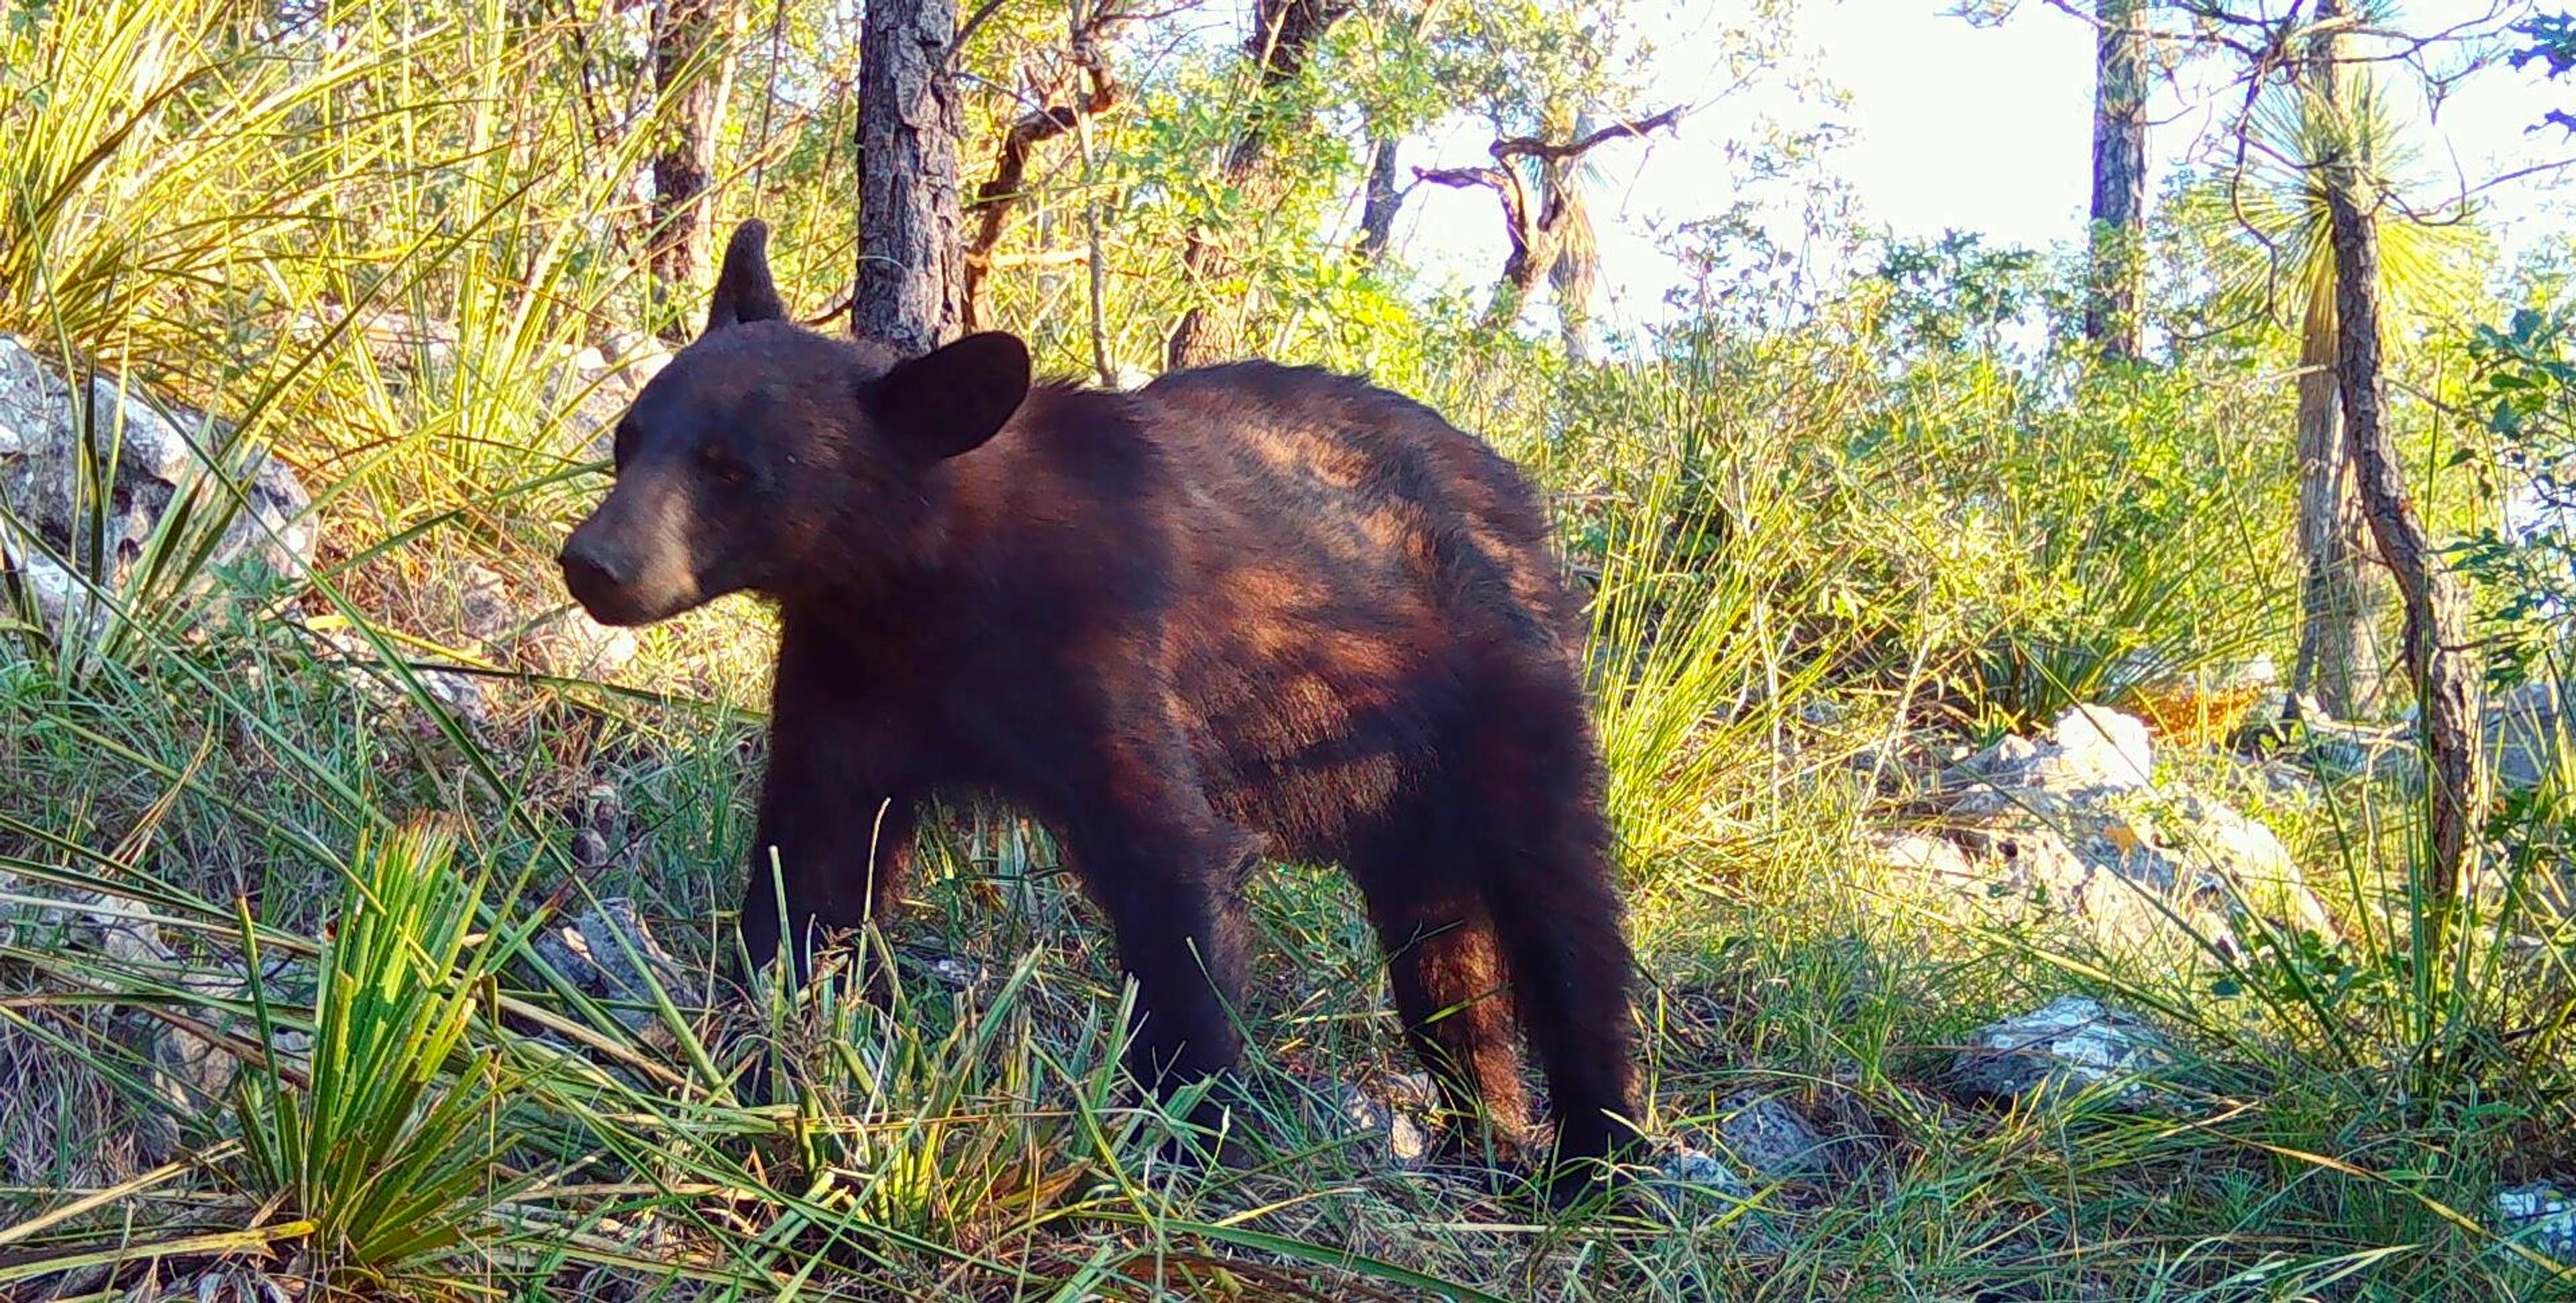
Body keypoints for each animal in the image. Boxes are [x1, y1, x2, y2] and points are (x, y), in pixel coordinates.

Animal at [566, 221, 1648, 1179]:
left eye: (733, 471)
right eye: (629, 437)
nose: (595, 563)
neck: (922, 586)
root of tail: (1521, 493)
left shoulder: (1104, 651)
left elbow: (1174, 867)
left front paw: (1188, 1138)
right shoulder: (846, 675)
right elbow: (808, 864)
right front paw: (750, 1056)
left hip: (1507, 692)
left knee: (1566, 914)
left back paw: (1599, 1161)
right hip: (1403, 794)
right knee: (1443, 955)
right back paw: (1486, 1131)